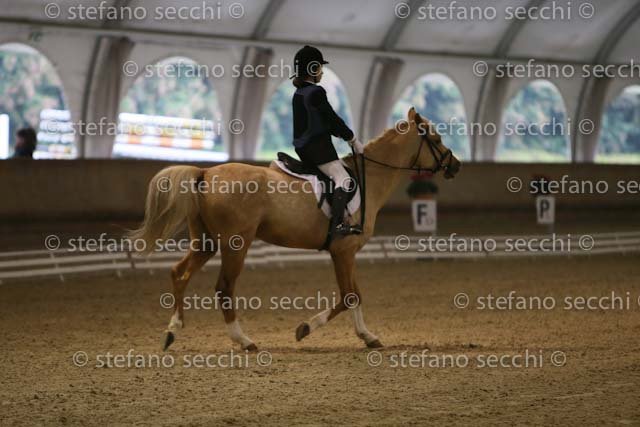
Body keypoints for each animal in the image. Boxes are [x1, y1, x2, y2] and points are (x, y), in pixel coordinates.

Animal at [130, 107, 461, 351]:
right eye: (436, 138)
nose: (455, 166)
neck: (370, 179)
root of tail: (205, 172)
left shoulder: (348, 253)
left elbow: (356, 294)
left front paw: (368, 337)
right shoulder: (343, 251)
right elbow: (347, 296)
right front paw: (305, 328)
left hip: (206, 242)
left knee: (179, 273)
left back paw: (172, 331)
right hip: (236, 244)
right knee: (224, 288)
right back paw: (244, 341)